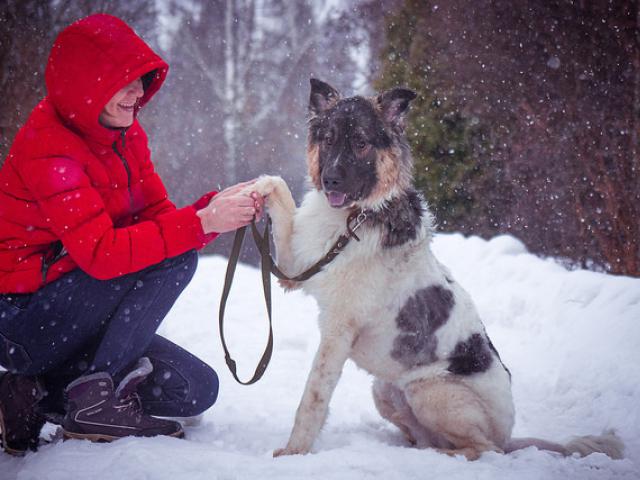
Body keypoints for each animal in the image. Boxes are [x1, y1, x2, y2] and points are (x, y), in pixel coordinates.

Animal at [248, 79, 624, 462]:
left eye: (361, 143)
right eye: (328, 139)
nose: (330, 181)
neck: (358, 216)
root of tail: (510, 435)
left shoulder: (338, 330)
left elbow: (313, 398)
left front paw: (294, 451)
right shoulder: (293, 270)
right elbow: (277, 186)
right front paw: (251, 192)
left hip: (430, 390)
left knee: (483, 449)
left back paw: (445, 455)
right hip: (385, 391)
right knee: (427, 437)